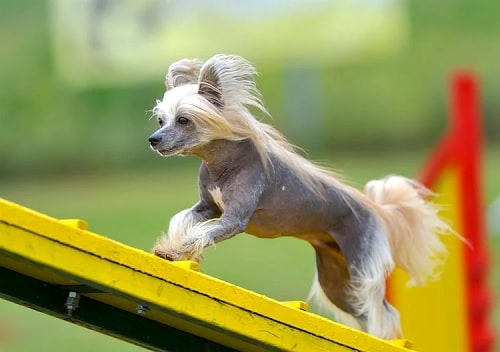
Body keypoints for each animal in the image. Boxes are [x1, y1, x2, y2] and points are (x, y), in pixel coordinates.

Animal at [146, 54, 452, 338]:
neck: (224, 163)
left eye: (183, 120)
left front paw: (179, 250)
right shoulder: (207, 208)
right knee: (364, 312)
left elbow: (202, 233)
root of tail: (380, 212)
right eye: (161, 120)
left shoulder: (234, 219)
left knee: (384, 314)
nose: (153, 139)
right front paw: (170, 247)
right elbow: (182, 219)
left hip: (361, 269)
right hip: (336, 282)